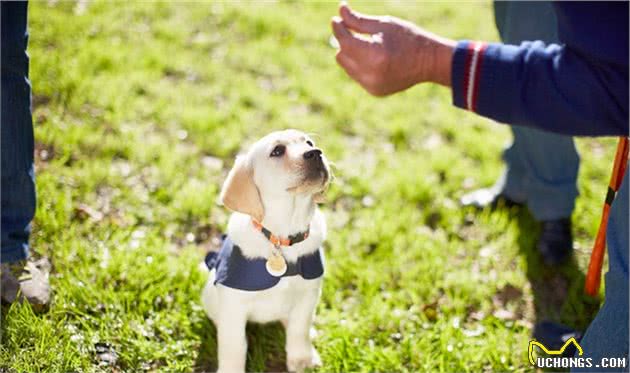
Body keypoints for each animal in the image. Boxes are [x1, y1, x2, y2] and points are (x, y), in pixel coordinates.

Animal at [201, 129, 330, 370]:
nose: (316, 153)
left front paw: (302, 360)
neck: (282, 236)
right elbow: (234, 345)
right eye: (277, 151)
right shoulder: (233, 307)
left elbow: (299, 330)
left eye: (309, 143)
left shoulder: (308, 294)